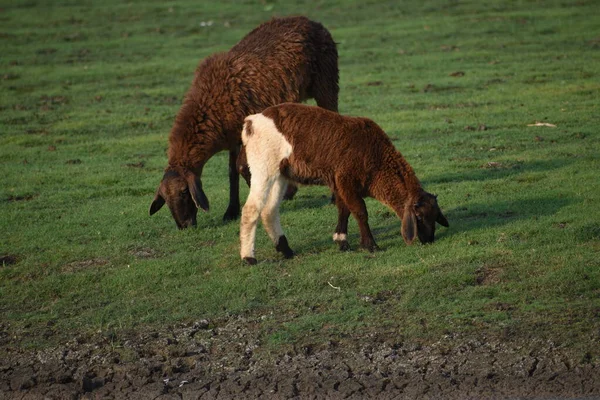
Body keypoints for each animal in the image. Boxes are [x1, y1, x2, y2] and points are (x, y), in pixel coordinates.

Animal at [148, 16, 340, 228]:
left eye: (184, 192)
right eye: (165, 199)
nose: (185, 226)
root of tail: (311, 21)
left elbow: (242, 167)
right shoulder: (232, 137)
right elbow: (232, 172)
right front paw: (231, 211)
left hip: (327, 83)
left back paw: (333, 197)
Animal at [237, 103, 448, 266]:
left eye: (435, 215)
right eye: (418, 216)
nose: (429, 240)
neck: (377, 157)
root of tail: (251, 122)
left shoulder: (340, 183)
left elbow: (344, 209)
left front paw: (342, 241)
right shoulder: (346, 179)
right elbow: (360, 211)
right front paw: (370, 245)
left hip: (280, 174)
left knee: (269, 211)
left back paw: (286, 249)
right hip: (263, 168)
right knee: (251, 209)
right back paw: (249, 257)